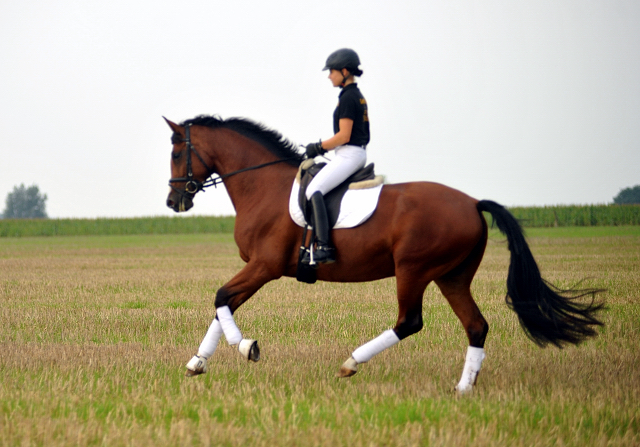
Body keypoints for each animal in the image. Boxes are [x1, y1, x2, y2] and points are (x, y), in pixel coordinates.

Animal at [162, 114, 604, 394]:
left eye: (176, 153)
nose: (173, 201)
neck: (262, 185)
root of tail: (473, 203)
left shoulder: (265, 266)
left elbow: (222, 298)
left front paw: (247, 347)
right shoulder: (260, 268)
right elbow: (224, 303)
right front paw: (197, 363)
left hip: (414, 270)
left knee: (410, 321)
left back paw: (351, 363)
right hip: (452, 275)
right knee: (476, 325)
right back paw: (463, 388)